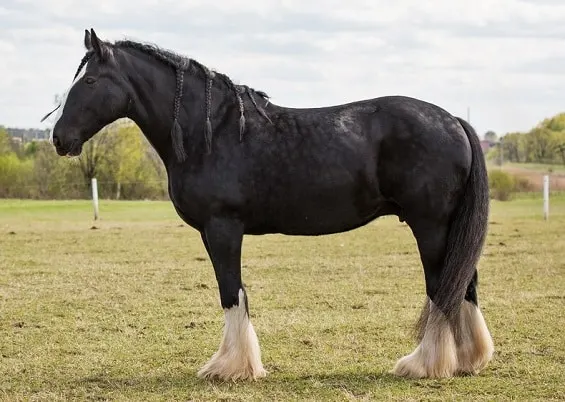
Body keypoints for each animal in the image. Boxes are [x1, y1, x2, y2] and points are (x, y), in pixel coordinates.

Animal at [45, 29, 494, 382]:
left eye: (89, 80)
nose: (59, 138)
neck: (212, 132)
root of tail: (454, 120)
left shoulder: (222, 228)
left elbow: (231, 292)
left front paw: (230, 367)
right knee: (463, 284)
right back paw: (467, 360)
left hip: (430, 226)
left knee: (442, 288)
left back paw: (423, 364)